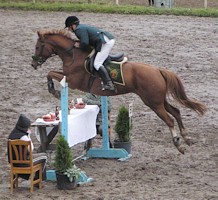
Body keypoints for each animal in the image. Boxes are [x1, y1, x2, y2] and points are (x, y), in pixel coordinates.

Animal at [31, 28, 207, 154]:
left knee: (169, 119)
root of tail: (158, 70)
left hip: (153, 102)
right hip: (158, 100)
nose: (33, 64)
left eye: (38, 46)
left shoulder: (72, 80)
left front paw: (54, 91)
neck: (72, 55)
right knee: (176, 112)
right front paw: (53, 90)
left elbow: (50, 73)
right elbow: (51, 73)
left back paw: (179, 144)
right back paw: (187, 138)